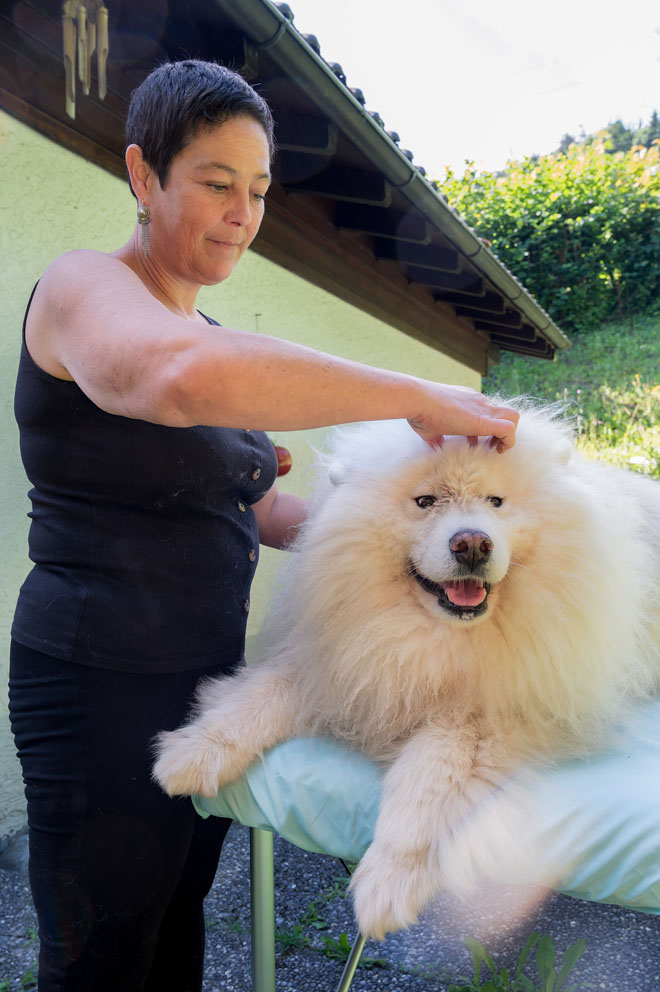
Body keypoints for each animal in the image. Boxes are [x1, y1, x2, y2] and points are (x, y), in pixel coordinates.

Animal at [155, 406, 660, 940]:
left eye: (496, 502)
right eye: (426, 502)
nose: (472, 543)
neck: (436, 637)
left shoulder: (485, 714)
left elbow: (427, 780)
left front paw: (387, 882)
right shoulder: (343, 661)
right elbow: (260, 697)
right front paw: (190, 753)